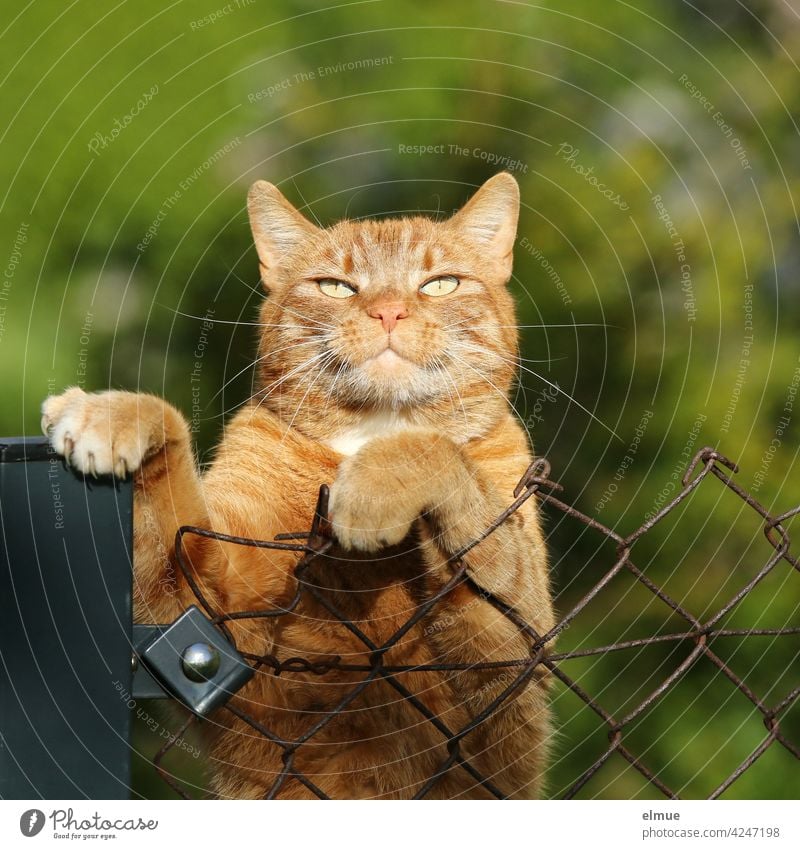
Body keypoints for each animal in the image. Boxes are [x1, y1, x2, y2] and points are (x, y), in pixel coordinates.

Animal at [42, 171, 556, 796]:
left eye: (441, 284)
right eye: (335, 287)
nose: (389, 312)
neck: (367, 433)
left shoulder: (510, 657)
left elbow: (430, 450)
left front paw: (371, 491)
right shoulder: (205, 610)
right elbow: (168, 443)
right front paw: (110, 414)